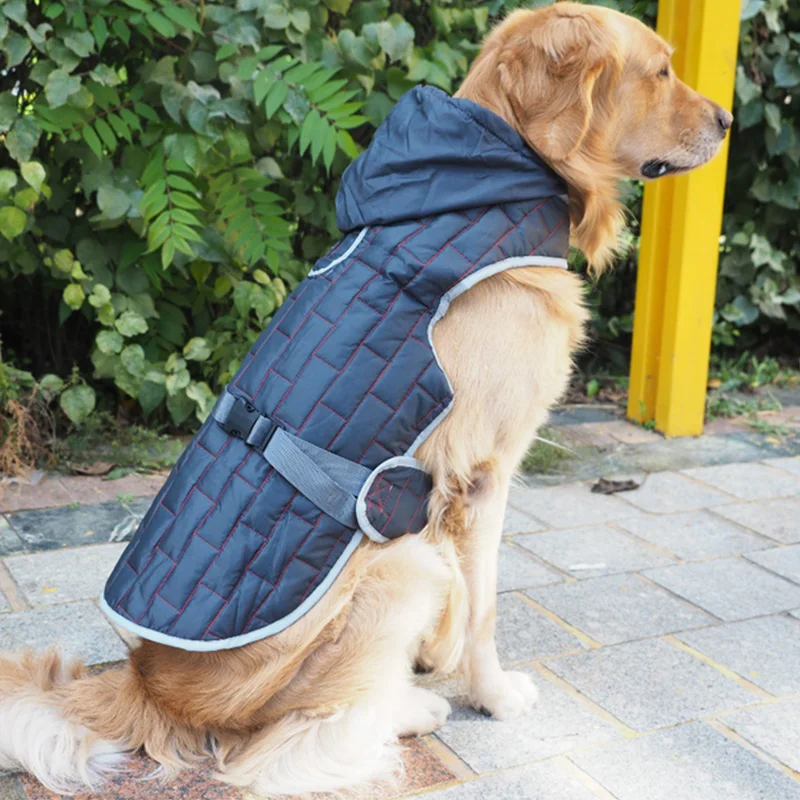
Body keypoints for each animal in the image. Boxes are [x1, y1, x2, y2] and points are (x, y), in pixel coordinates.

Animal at [0, 3, 732, 796]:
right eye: (659, 71)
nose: (728, 119)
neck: (482, 185)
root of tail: (143, 683)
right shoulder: (481, 473)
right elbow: (482, 606)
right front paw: (492, 696)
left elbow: (467, 602)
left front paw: (436, 657)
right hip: (395, 565)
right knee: (290, 744)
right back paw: (406, 710)